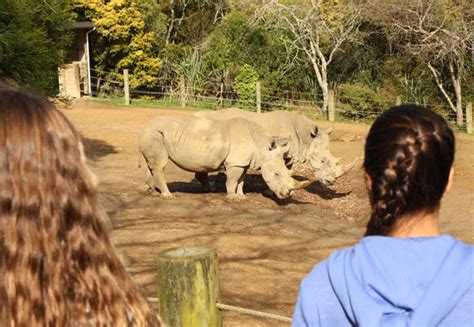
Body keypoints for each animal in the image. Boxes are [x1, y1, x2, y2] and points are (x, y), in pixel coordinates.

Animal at [139, 115, 312, 200]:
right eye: (277, 174)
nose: (287, 195)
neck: (261, 146)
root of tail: (145, 125)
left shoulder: (243, 162)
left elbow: (241, 180)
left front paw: (241, 197)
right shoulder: (236, 162)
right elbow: (233, 180)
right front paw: (232, 198)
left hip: (154, 134)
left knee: (152, 165)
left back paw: (154, 192)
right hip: (156, 134)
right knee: (160, 165)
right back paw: (168, 196)